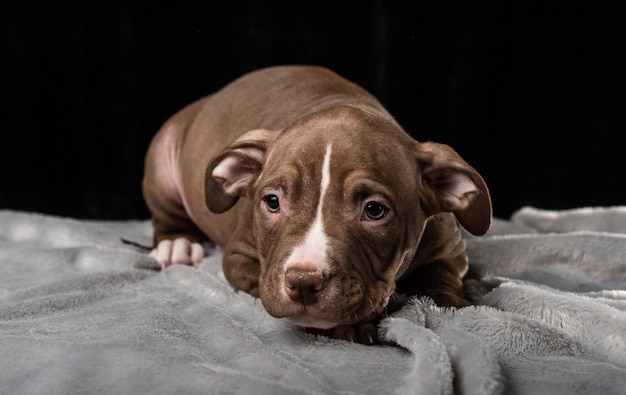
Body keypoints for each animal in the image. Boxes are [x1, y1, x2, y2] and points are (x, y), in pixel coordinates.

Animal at [144, 65, 490, 344]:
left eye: (374, 210)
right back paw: (176, 243)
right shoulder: (239, 255)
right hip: (162, 161)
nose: (303, 282)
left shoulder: (450, 249)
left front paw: (454, 306)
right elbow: (262, 279)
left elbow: (441, 276)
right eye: (272, 202)